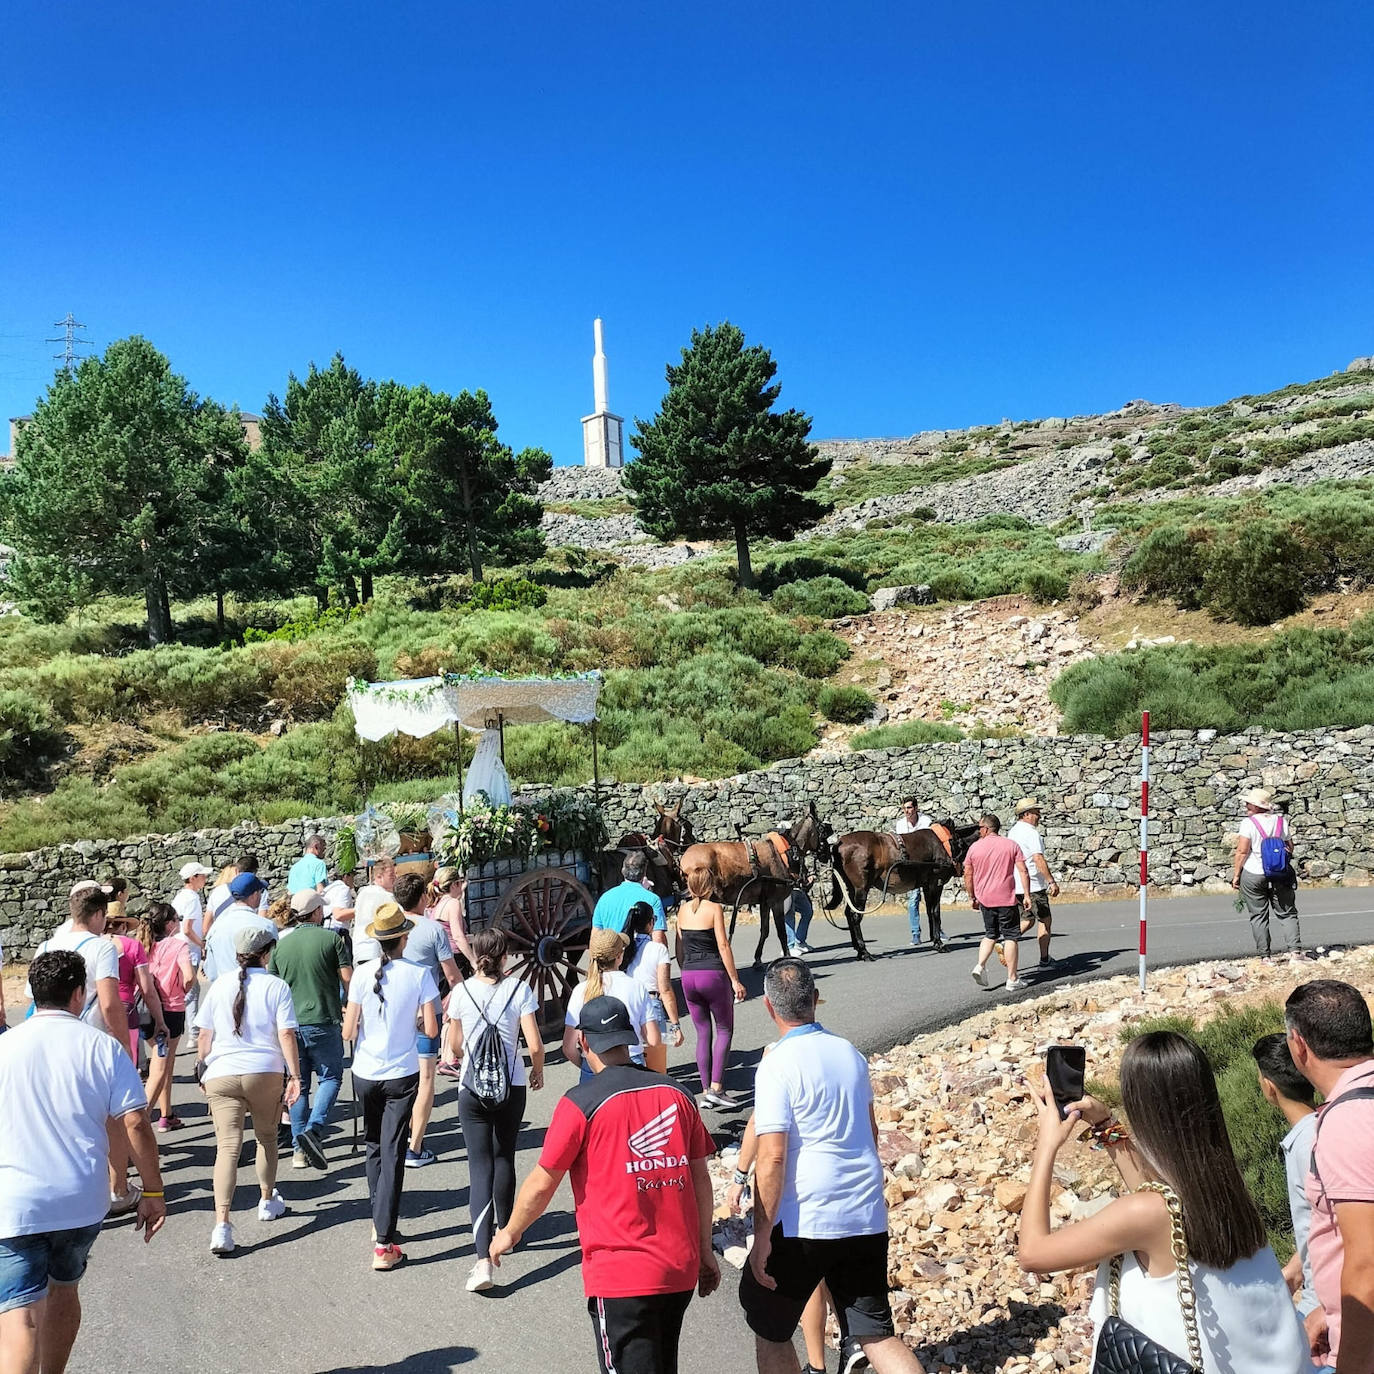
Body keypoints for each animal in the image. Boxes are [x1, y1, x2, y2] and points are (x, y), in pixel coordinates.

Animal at [678, 802, 829, 967]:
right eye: (823, 828)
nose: (827, 855)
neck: (785, 852)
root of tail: (684, 860)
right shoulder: (776, 901)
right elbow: (781, 932)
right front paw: (788, 957)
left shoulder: (764, 902)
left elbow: (765, 930)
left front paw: (757, 959)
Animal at [813, 818, 978, 961]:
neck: (947, 842)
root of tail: (838, 844)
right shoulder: (936, 883)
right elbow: (935, 912)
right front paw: (939, 943)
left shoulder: (926, 885)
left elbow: (930, 912)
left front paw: (935, 939)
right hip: (861, 888)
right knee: (855, 916)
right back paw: (864, 951)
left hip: (852, 889)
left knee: (848, 913)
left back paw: (859, 950)